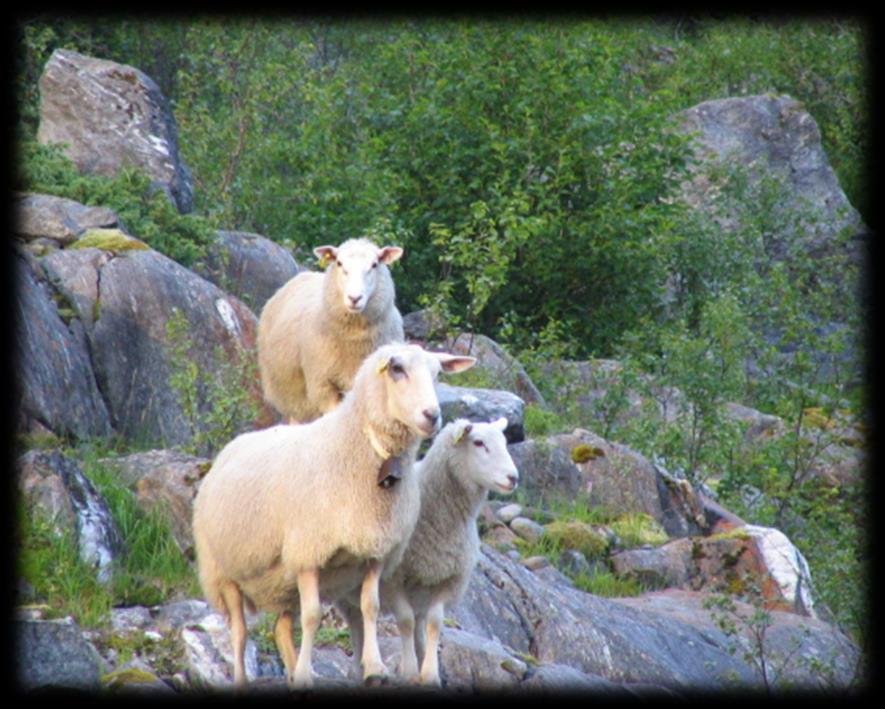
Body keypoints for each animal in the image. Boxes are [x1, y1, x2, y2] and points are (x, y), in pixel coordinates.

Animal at [189, 342, 474, 684]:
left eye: (437, 373)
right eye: (397, 369)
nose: (432, 416)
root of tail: (231, 448)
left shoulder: (374, 552)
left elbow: (370, 607)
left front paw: (373, 668)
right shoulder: (307, 553)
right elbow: (313, 616)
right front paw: (307, 673)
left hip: (283, 582)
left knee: (281, 628)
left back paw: (292, 672)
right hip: (224, 572)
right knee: (240, 631)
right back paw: (245, 679)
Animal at [258, 238, 406, 424]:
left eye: (374, 264)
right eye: (339, 263)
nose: (354, 298)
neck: (354, 341)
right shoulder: (323, 386)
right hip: (293, 398)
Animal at [336, 414, 516, 684]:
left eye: (505, 442)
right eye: (478, 443)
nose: (513, 477)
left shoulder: (447, 580)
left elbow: (434, 624)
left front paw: (430, 673)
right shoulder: (392, 581)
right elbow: (405, 621)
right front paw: (410, 671)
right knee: (355, 622)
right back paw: (361, 669)